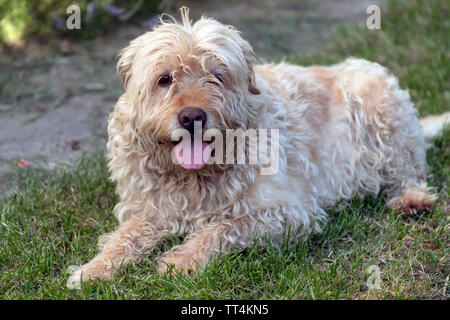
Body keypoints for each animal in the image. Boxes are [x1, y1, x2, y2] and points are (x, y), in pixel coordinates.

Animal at [66, 7, 446, 288]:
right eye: (165, 78)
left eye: (217, 76)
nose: (192, 117)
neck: (194, 177)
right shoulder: (148, 210)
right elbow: (123, 237)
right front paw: (93, 270)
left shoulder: (288, 211)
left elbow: (223, 228)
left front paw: (180, 260)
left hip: (382, 112)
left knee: (409, 170)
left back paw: (412, 199)